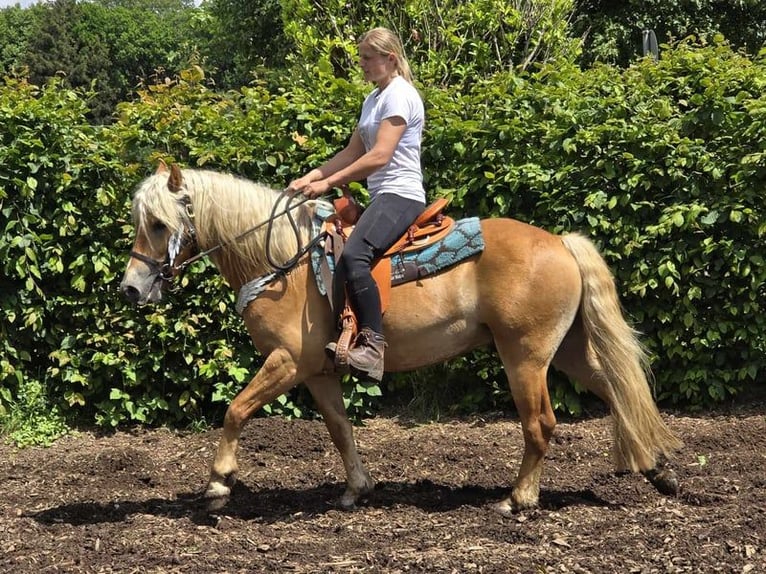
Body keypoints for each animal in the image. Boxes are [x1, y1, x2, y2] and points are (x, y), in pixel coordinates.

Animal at [120, 163, 684, 516]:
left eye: (159, 223)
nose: (131, 287)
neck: (282, 260)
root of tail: (561, 243)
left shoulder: (287, 362)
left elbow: (235, 410)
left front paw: (218, 484)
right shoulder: (318, 371)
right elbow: (340, 429)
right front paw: (357, 490)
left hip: (525, 356)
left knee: (540, 424)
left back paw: (519, 499)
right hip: (565, 351)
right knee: (620, 391)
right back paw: (658, 470)